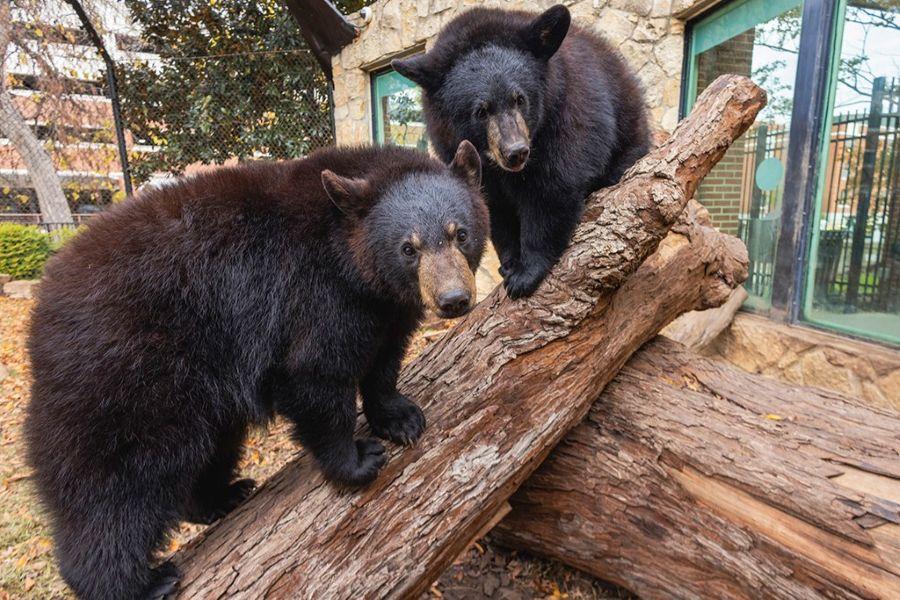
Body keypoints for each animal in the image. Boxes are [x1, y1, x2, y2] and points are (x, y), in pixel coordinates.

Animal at [24, 141, 487, 600]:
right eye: (409, 248)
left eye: (460, 233)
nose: (453, 300)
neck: (351, 264)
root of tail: (42, 315)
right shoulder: (313, 296)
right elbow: (314, 375)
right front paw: (356, 459)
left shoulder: (386, 309)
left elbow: (385, 359)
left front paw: (400, 418)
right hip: (127, 378)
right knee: (117, 486)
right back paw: (140, 582)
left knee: (210, 449)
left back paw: (222, 496)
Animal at [393, 4, 651, 298]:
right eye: (481, 111)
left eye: (520, 99)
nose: (516, 152)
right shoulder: (453, 146)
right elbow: (493, 207)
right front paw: (510, 263)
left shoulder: (567, 114)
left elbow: (553, 188)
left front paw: (526, 273)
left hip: (627, 135)